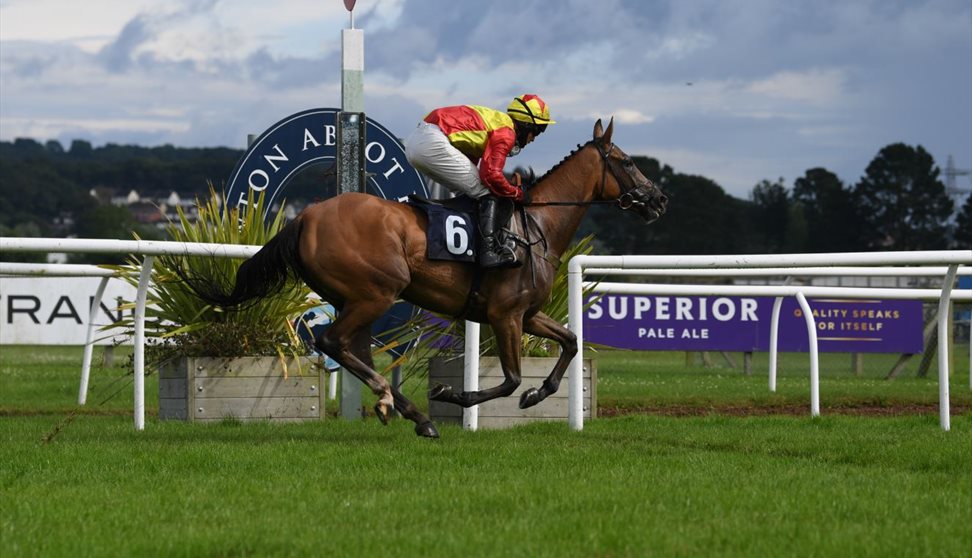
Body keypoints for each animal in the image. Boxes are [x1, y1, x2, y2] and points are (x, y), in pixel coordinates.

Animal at [188, 120, 668, 440]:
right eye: (627, 162)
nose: (659, 199)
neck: (536, 227)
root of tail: (304, 216)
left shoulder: (528, 314)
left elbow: (570, 342)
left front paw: (538, 395)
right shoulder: (505, 314)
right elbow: (511, 378)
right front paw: (455, 396)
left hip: (351, 297)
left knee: (352, 348)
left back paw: (414, 415)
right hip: (377, 292)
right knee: (332, 342)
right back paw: (396, 401)